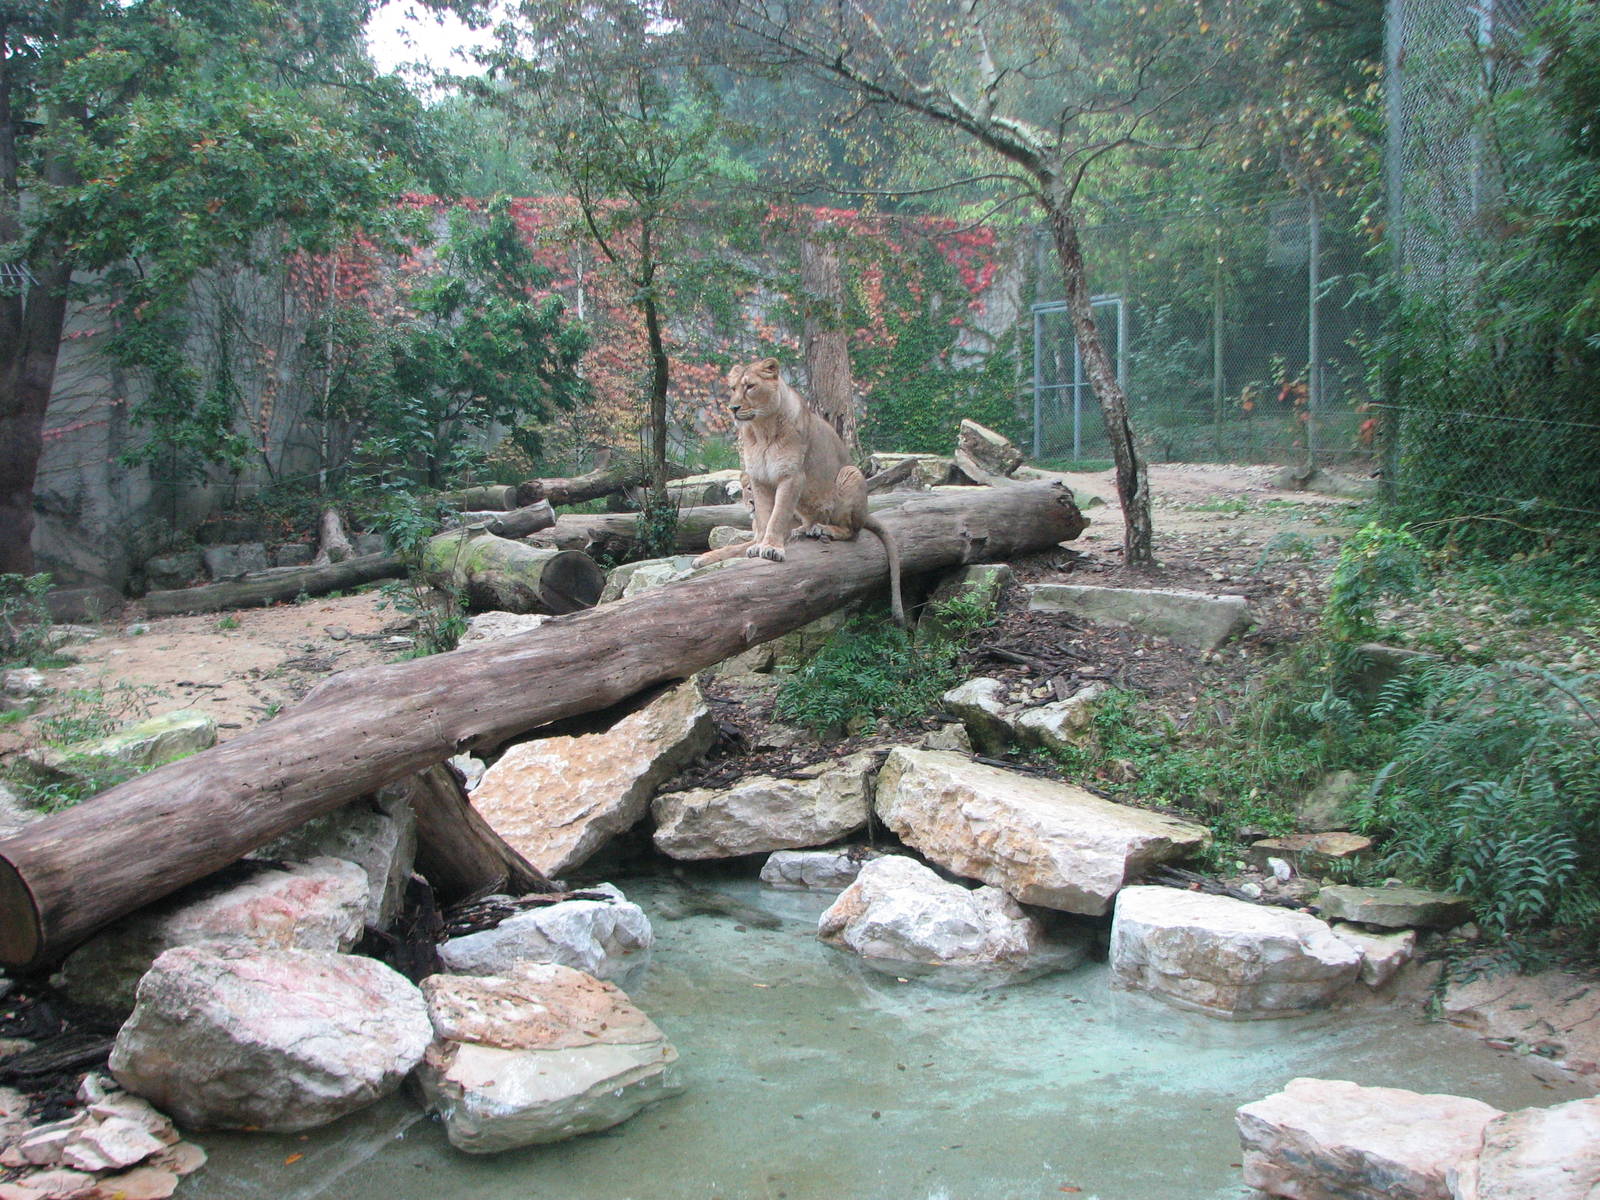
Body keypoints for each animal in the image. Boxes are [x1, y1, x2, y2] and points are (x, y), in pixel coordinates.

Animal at [693, 358, 905, 625]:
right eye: (732, 388)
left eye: (750, 386)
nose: (733, 408)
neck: (761, 429)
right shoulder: (760, 477)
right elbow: (755, 526)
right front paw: (753, 547)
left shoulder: (791, 476)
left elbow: (776, 515)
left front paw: (771, 548)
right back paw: (805, 529)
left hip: (850, 473)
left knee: (851, 531)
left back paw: (823, 529)